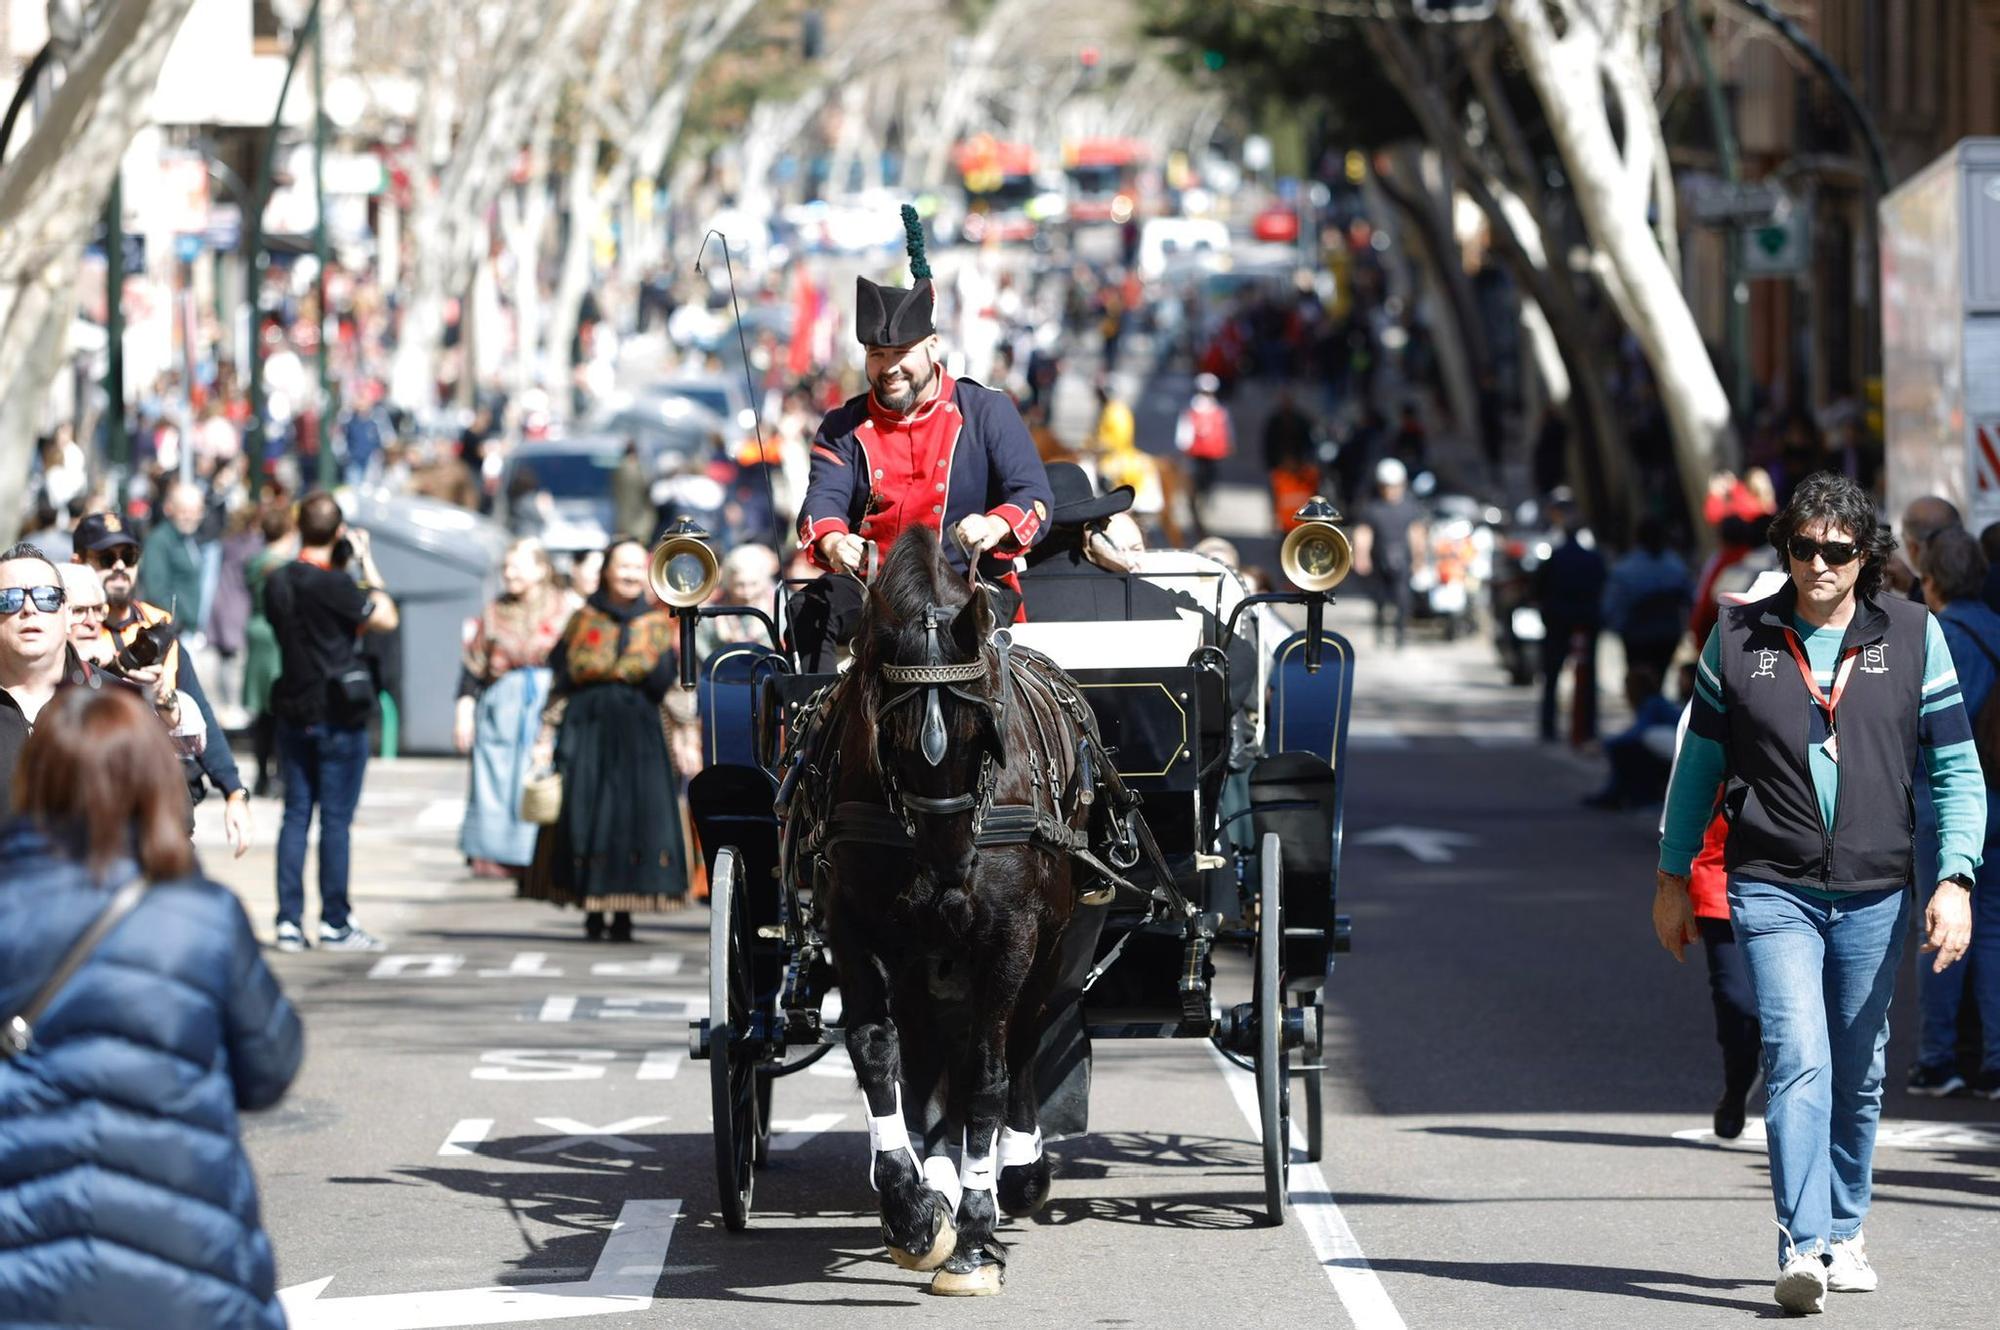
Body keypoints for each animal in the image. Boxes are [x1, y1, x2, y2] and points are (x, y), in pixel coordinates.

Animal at [808, 524, 1104, 1288]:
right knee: (924, 1046)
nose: (948, 870)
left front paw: (973, 1229)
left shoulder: (1011, 936)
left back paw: (1018, 1172)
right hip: (922, 952)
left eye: (982, 732)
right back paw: (937, 1174)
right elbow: (875, 1050)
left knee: (1020, 1038)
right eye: (892, 737)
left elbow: (987, 1075)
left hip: (1052, 941)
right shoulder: (854, 924)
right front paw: (911, 1207)